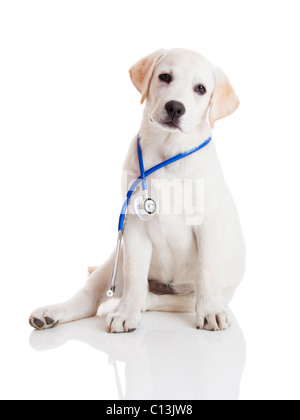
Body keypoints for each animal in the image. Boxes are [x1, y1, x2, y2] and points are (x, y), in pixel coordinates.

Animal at [29, 48, 246, 332]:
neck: (167, 152)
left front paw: (210, 312)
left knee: (168, 298)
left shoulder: (208, 224)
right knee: (90, 297)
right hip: (114, 260)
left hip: (201, 294)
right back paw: (52, 312)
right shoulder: (134, 228)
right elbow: (135, 273)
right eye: (165, 76)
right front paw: (126, 313)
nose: (175, 107)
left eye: (201, 89)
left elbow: (206, 271)